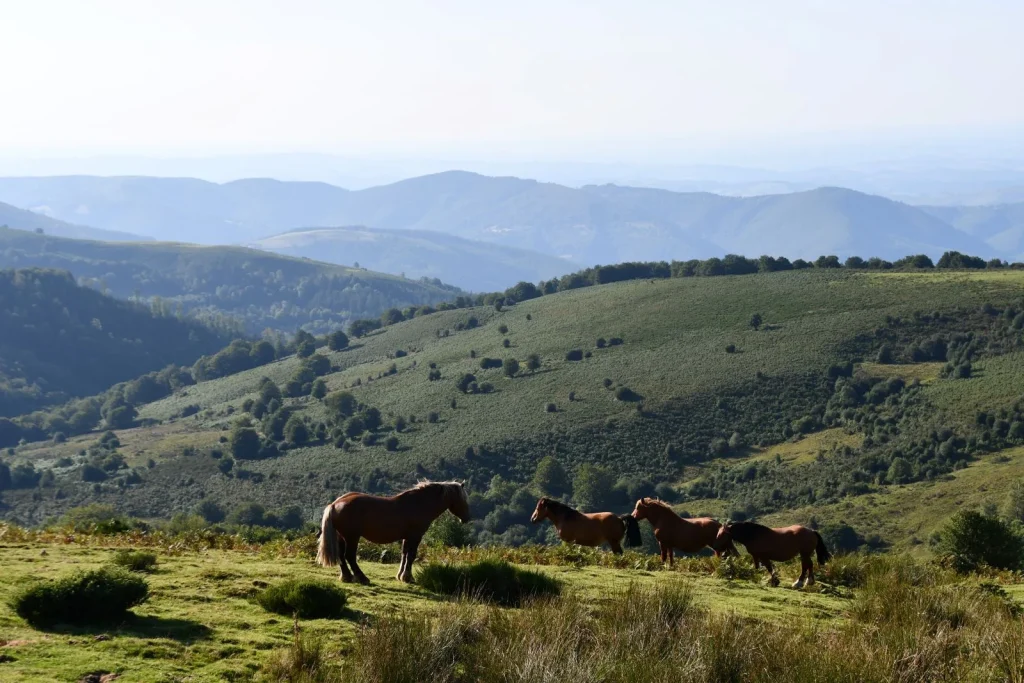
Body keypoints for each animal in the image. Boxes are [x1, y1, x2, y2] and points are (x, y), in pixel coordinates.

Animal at [313, 479, 468, 585]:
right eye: (463, 498)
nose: (467, 517)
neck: (419, 504)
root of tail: (335, 504)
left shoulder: (407, 538)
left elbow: (404, 555)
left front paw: (401, 575)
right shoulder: (415, 536)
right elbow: (411, 556)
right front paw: (408, 577)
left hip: (342, 537)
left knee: (341, 556)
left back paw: (347, 577)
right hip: (352, 537)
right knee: (349, 556)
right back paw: (362, 578)